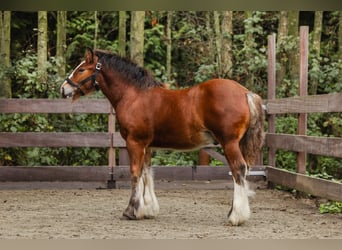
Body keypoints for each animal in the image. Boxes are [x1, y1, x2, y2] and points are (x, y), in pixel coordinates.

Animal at [60, 47, 264, 226]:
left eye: (81, 69)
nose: (63, 89)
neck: (134, 96)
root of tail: (246, 93)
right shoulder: (146, 146)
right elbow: (147, 173)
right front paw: (148, 210)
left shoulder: (134, 143)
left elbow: (135, 174)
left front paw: (131, 211)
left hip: (229, 143)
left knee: (238, 170)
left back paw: (235, 216)